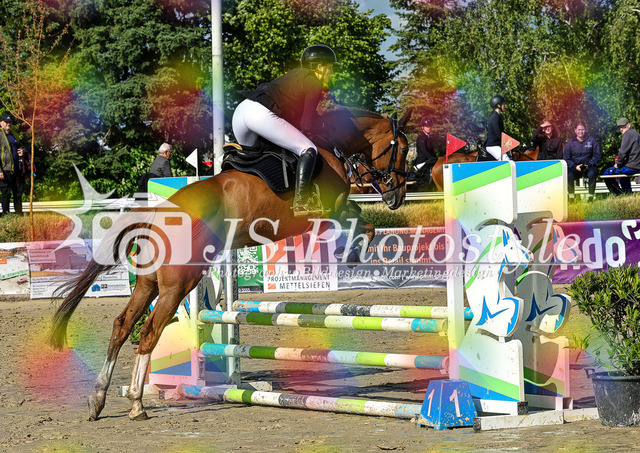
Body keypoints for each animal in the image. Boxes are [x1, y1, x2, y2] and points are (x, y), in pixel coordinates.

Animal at [47, 106, 412, 421]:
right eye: (404, 149)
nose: (396, 197)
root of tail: (157, 213)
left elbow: (362, 220)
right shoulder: (330, 209)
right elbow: (364, 224)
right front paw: (351, 254)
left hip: (149, 284)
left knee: (122, 327)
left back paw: (99, 398)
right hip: (178, 285)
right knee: (149, 333)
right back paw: (136, 403)